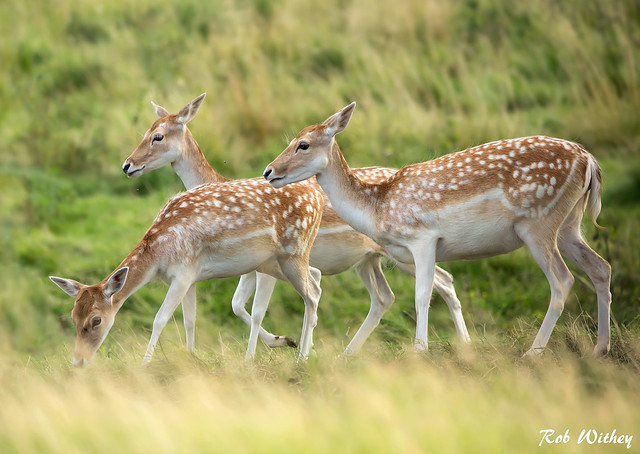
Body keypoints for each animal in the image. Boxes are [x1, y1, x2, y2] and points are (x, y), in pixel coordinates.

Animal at [121, 94, 470, 356]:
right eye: (145, 131)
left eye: (158, 136)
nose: (128, 165)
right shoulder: (252, 265)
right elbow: (237, 305)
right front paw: (288, 343)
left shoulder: (264, 263)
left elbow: (254, 308)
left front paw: (273, 349)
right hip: (369, 260)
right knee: (387, 296)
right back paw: (349, 353)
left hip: (401, 251)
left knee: (442, 280)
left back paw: (459, 344)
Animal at [262, 103, 612, 358]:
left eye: (303, 144)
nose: (268, 171)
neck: (378, 208)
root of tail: (590, 161)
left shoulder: (423, 238)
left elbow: (421, 295)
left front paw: (420, 350)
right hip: (569, 224)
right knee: (601, 267)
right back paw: (600, 348)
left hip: (539, 222)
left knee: (562, 280)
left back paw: (533, 352)